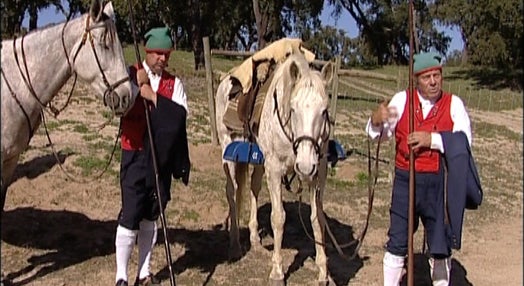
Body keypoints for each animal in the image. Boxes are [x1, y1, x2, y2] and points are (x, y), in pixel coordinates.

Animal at [215, 53, 334, 284]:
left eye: (324, 111)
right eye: (293, 109)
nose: (305, 165)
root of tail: (226, 80)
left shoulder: (318, 174)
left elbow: (317, 220)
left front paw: (323, 272)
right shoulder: (275, 169)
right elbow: (278, 218)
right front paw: (277, 271)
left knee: (253, 188)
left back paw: (254, 240)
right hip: (229, 151)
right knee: (232, 191)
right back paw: (235, 245)